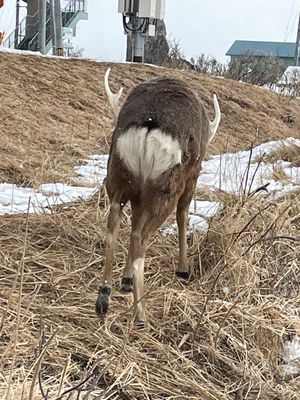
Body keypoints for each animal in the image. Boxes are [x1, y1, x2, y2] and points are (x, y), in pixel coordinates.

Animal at [96, 66, 220, 328]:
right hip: (166, 185)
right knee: (141, 237)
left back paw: (104, 296)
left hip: (119, 175)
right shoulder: (193, 176)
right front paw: (183, 269)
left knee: (116, 226)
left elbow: (133, 224)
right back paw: (140, 315)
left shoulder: (136, 194)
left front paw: (126, 280)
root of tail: (149, 125)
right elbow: (183, 215)